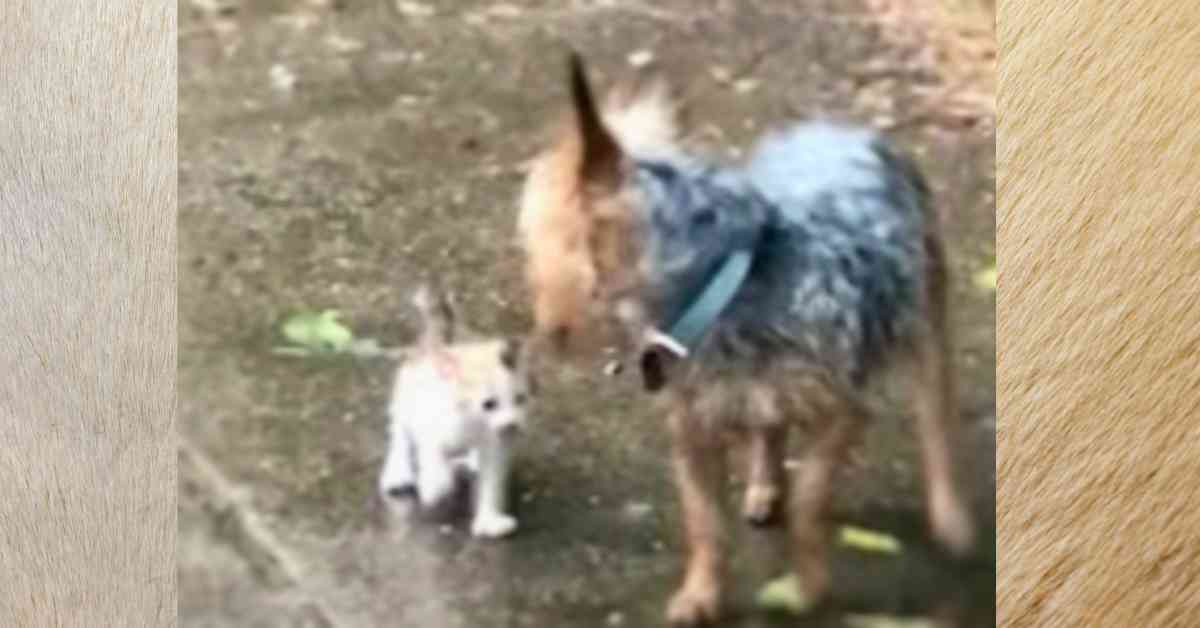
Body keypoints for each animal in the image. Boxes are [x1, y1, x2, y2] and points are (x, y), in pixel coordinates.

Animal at [376, 283, 532, 535]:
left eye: (520, 399)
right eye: (488, 404)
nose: (512, 426)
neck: (471, 423)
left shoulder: (494, 444)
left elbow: (491, 479)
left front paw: (489, 519)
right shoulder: (431, 425)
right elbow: (433, 454)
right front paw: (435, 486)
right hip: (404, 401)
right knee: (400, 435)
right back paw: (398, 473)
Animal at [516, 54, 974, 624]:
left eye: (534, 242)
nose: (542, 330)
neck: (725, 285)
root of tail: (845, 128)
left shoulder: (841, 412)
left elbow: (809, 502)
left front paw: (808, 585)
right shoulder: (692, 430)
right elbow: (704, 525)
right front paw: (701, 595)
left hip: (926, 317)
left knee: (936, 417)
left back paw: (950, 515)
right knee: (769, 429)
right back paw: (763, 484)